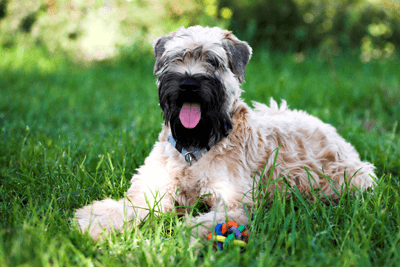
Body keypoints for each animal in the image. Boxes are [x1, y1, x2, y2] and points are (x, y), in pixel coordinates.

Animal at [74, 26, 376, 242]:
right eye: (176, 57)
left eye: (213, 61)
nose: (189, 84)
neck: (194, 150)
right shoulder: (150, 188)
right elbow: (127, 207)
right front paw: (95, 224)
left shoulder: (232, 202)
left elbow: (204, 223)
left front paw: (177, 239)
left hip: (353, 178)